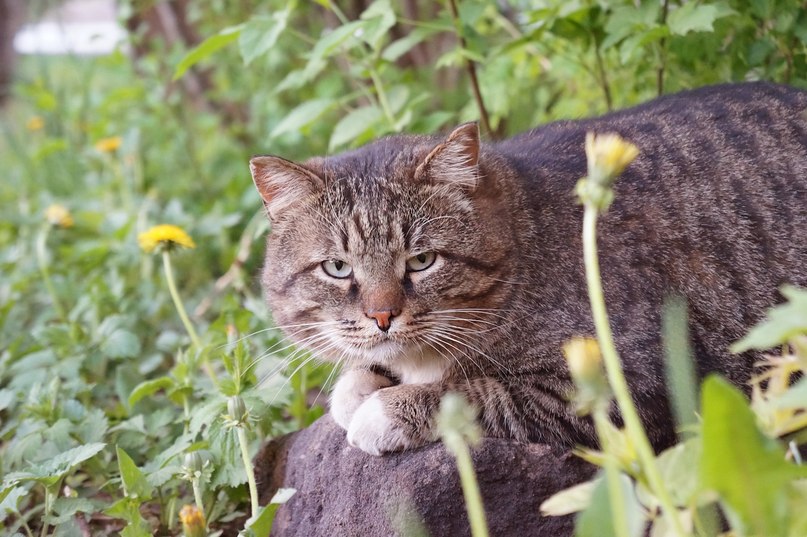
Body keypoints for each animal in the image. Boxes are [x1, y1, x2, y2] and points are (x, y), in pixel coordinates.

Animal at [249, 81, 807, 454]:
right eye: (338, 268)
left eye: (423, 260)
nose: (382, 316)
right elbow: (362, 376)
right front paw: (360, 385)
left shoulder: (633, 383)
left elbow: (471, 392)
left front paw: (385, 410)